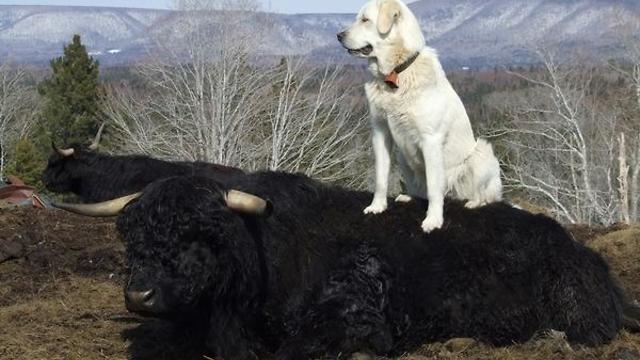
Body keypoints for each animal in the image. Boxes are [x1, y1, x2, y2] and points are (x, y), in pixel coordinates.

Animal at [338, 0, 502, 232]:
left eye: (365, 20)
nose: (338, 35)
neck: (397, 72)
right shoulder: (380, 133)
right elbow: (381, 177)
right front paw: (377, 207)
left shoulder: (430, 140)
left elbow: (434, 188)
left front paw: (433, 220)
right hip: (403, 156)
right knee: (419, 190)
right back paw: (408, 197)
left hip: (481, 153)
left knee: (483, 196)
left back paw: (472, 202)